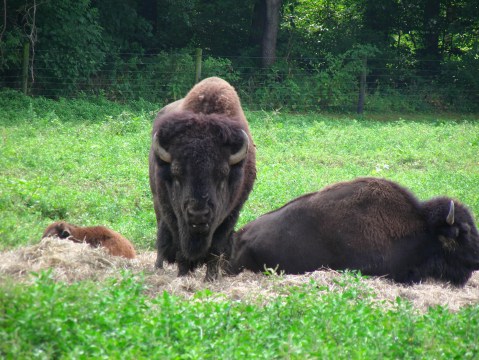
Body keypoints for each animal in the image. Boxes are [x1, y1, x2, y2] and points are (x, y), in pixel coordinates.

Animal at [149, 76, 256, 282]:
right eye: (176, 173)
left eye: (222, 174)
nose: (198, 214)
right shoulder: (173, 214)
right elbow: (179, 245)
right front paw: (183, 275)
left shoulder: (230, 214)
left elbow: (215, 247)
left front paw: (210, 278)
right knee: (161, 233)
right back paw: (158, 267)